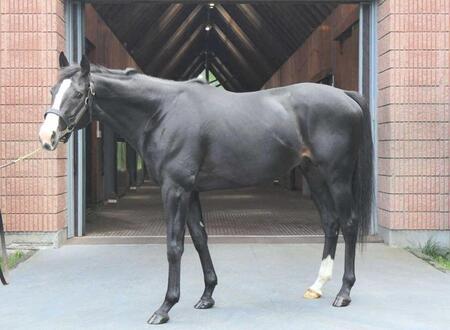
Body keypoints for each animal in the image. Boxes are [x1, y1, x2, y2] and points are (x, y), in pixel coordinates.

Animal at [39, 54, 372, 324]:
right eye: (53, 91)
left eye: (78, 94)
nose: (47, 136)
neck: (162, 112)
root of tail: (345, 95)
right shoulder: (191, 190)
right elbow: (200, 238)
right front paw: (207, 295)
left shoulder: (175, 189)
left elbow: (174, 246)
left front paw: (165, 307)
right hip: (313, 174)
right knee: (330, 222)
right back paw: (317, 286)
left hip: (337, 175)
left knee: (349, 223)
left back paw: (344, 292)